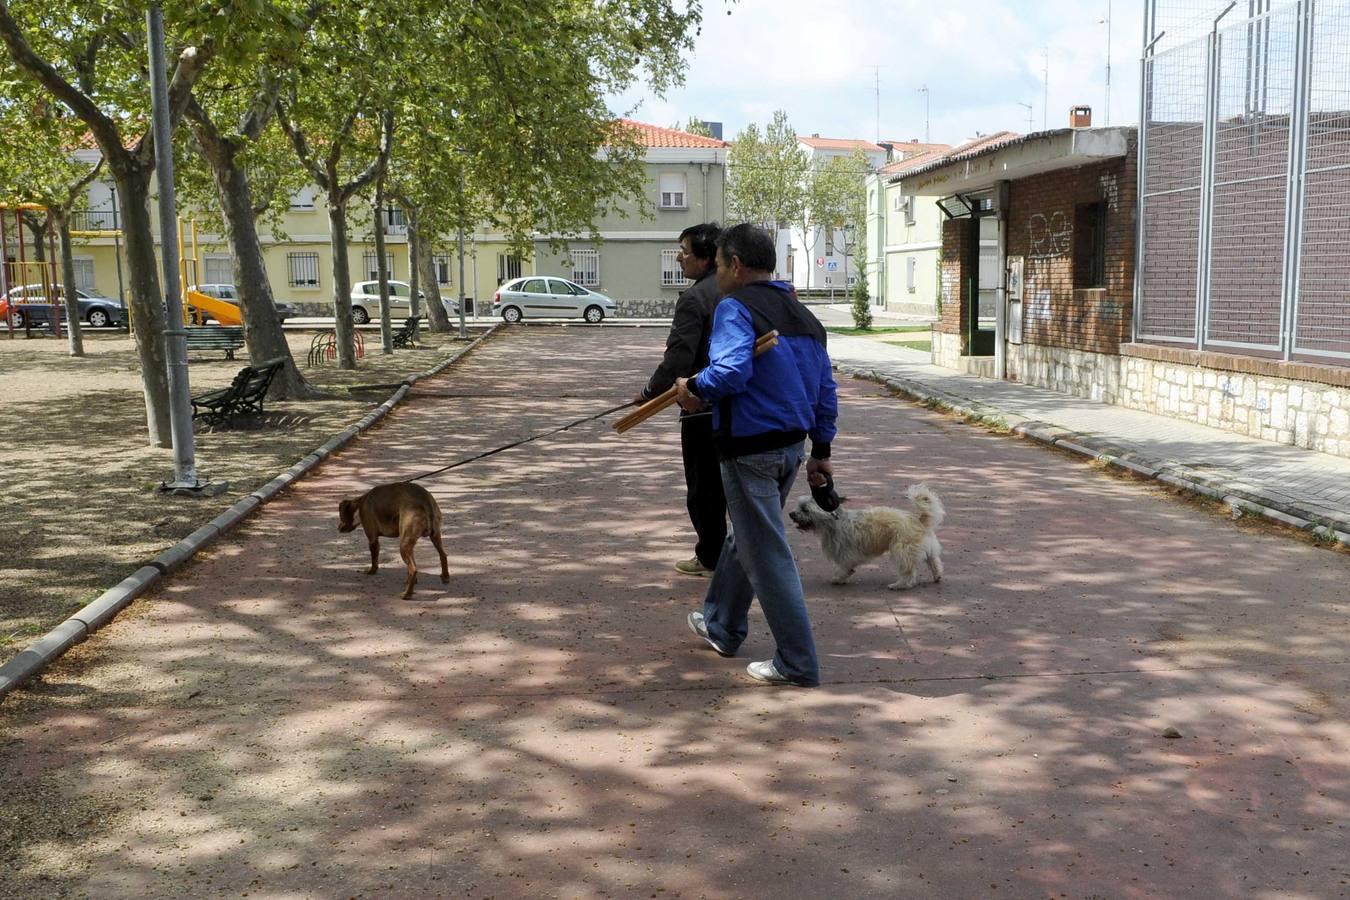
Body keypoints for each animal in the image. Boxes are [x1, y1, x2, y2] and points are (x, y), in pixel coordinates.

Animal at [788, 485, 945, 591]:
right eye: (799, 506)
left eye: (805, 509)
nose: (790, 514)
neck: (834, 521)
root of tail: (918, 520)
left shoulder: (845, 551)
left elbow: (845, 566)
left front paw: (839, 578)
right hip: (927, 549)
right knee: (934, 561)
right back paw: (937, 576)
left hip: (902, 551)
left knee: (908, 572)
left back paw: (899, 585)